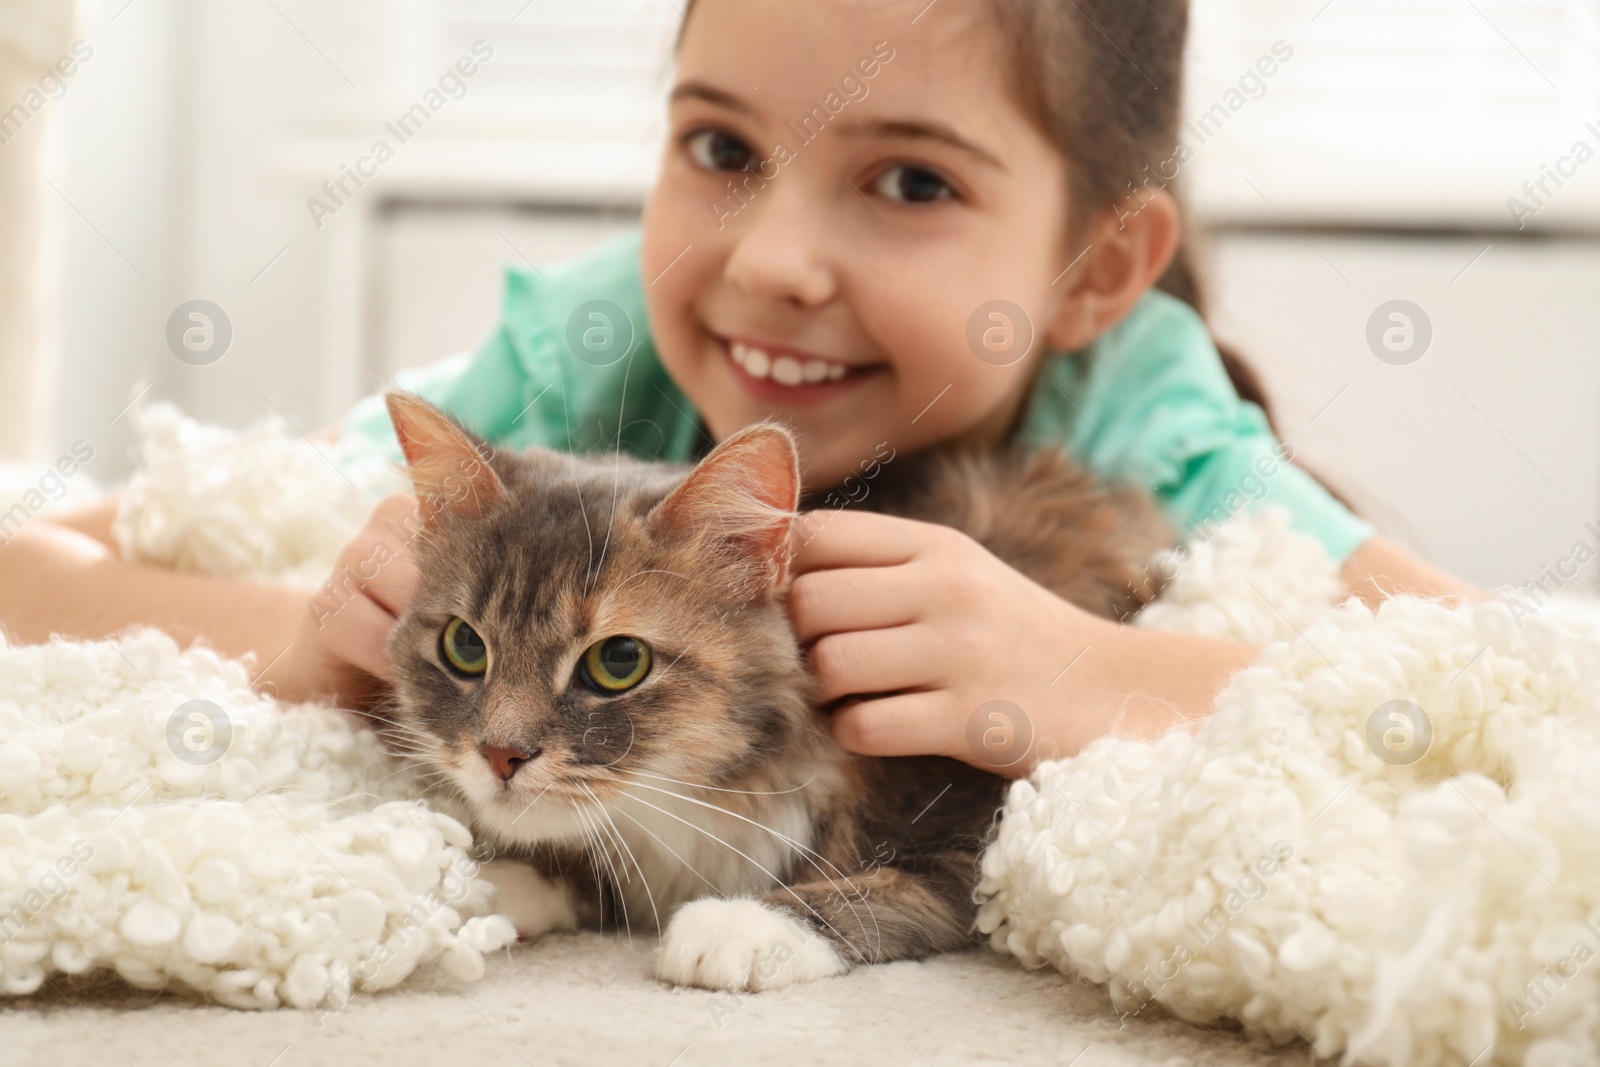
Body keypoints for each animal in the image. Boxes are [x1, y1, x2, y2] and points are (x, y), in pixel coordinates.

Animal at [377, 390, 1177, 991]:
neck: (696, 799)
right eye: (465, 646)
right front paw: (479, 888)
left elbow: (887, 887)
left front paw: (740, 922)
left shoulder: (979, 827)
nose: (499, 754)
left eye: (619, 660)